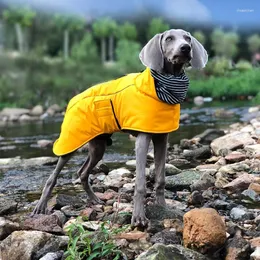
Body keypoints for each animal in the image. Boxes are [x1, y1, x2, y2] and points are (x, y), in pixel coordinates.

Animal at [33, 29, 207, 228]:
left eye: (187, 38)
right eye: (169, 38)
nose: (185, 48)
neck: (163, 86)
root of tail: (72, 100)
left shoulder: (162, 137)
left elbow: (161, 178)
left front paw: (163, 207)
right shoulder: (143, 138)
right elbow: (140, 183)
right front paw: (138, 217)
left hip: (98, 146)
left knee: (82, 172)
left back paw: (94, 199)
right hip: (71, 141)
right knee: (53, 176)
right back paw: (41, 206)